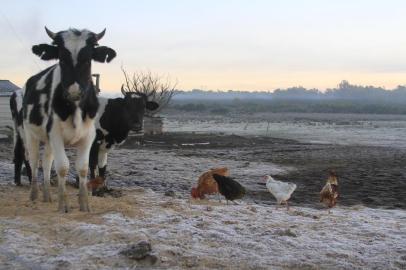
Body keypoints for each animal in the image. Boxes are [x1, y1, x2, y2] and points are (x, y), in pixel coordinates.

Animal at [21, 27, 116, 213]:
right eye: (61, 58)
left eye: (88, 59)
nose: (74, 91)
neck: (75, 107)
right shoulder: (55, 133)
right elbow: (63, 167)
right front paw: (63, 205)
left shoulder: (88, 136)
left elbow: (83, 168)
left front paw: (84, 204)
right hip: (30, 133)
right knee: (35, 161)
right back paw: (34, 195)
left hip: (48, 140)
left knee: (46, 162)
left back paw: (47, 196)